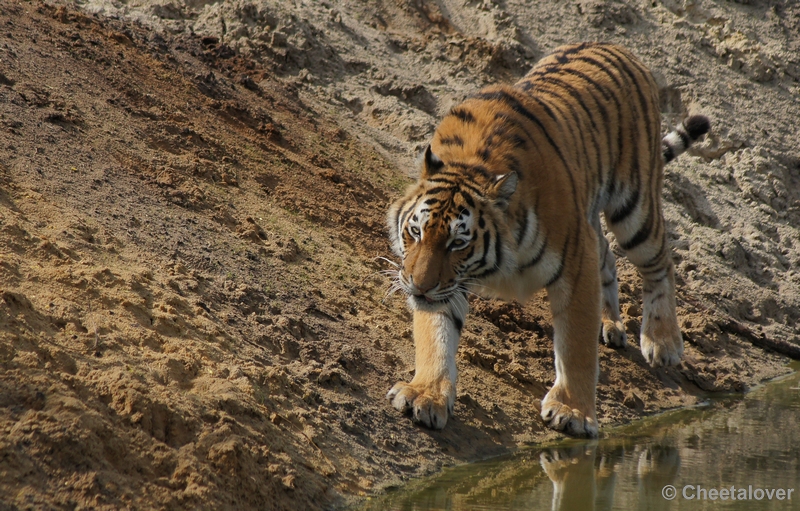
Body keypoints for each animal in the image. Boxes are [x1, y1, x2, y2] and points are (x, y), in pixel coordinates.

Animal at [384, 42, 708, 438]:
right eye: (415, 231)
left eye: (457, 243)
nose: (418, 287)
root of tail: (617, 47)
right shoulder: (448, 285)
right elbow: (436, 333)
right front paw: (425, 394)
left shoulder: (575, 262)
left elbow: (576, 347)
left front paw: (572, 411)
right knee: (608, 255)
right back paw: (611, 325)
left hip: (635, 209)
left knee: (660, 262)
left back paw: (663, 341)